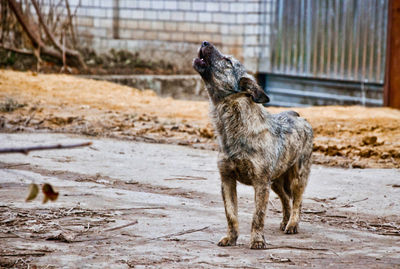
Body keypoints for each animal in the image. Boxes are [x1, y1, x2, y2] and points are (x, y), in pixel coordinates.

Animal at [192, 42, 314, 249]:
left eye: (227, 61)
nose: (205, 43)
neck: (235, 127)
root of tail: (297, 115)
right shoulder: (228, 180)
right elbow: (231, 215)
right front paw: (231, 238)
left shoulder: (260, 183)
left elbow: (258, 216)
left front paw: (257, 240)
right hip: (276, 182)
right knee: (285, 200)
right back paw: (285, 221)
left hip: (296, 178)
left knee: (297, 201)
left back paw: (292, 224)